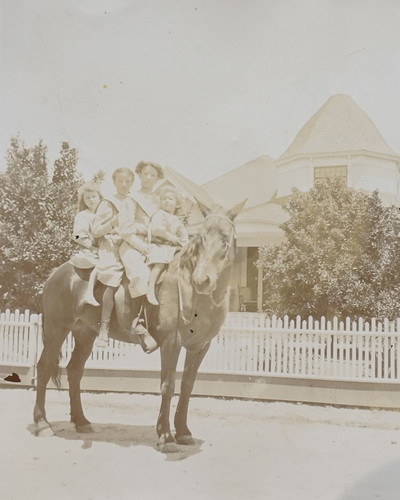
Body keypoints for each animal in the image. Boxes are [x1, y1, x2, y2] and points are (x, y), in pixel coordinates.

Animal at [34, 199, 247, 454]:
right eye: (201, 240)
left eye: (226, 241)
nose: (201, 280)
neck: (194, 295)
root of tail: (55, 274)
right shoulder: (171, 343)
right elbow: (168, 385)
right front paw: (165, 436)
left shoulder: (200, 346)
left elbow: (187, 385)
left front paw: (183, 432)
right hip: (56, 330)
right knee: (44, 368)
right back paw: (42, 424)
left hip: (85, 335)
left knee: (75, 371)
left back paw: (81, 421)